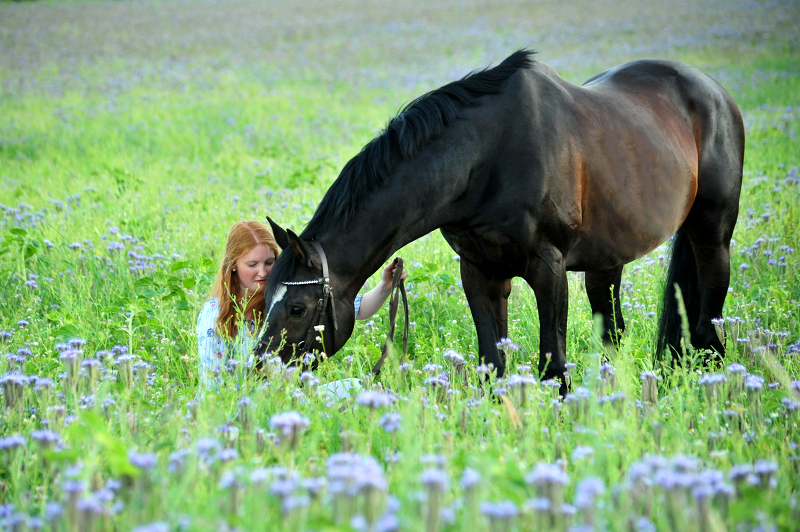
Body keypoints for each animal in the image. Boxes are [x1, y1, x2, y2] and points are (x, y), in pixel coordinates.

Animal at [256, 50, 744, 392]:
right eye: (263, 298)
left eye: (297, 307)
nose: (260, 368)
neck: (483, 160)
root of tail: (713, 90)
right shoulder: (480, 271)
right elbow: (492, 362)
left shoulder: (549, 269)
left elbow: (553, 363)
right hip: (608, 259)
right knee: (614, 334)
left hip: (711, 233)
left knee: (707, 325)